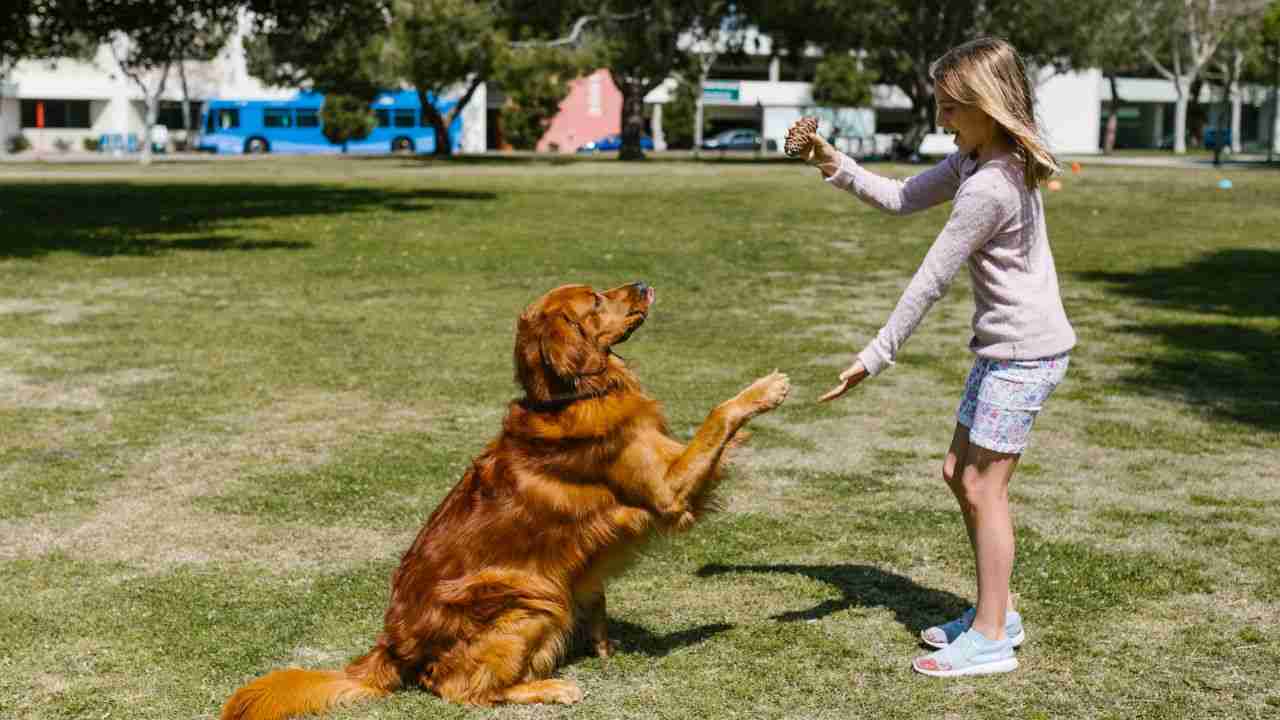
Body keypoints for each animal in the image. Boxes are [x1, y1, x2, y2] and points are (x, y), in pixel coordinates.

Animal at [222, 283, 788, 712]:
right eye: (596, 300)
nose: (645, 283)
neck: (571, 395)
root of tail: (391, 648)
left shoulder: (669, 462)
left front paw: (605, 641)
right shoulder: (667, 492)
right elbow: (718, 415)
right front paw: (764, 389)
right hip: (529, 597)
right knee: (458, 688)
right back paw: (551, 686)